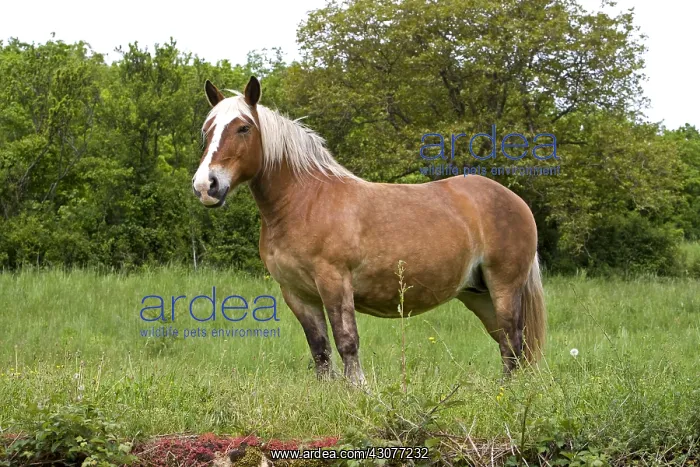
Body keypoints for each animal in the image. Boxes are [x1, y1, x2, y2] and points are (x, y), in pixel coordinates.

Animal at [192, 77, 546, 385]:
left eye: (243, 128)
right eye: (207, 130)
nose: (206, 185)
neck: (304, 202)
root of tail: (515, 200)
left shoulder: (335, 282)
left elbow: (347, 342)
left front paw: (358, 390)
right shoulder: (297, 294)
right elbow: (320, 350)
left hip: (504, 286)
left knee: (513, 340)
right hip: (477, 293)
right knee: (507, 344)